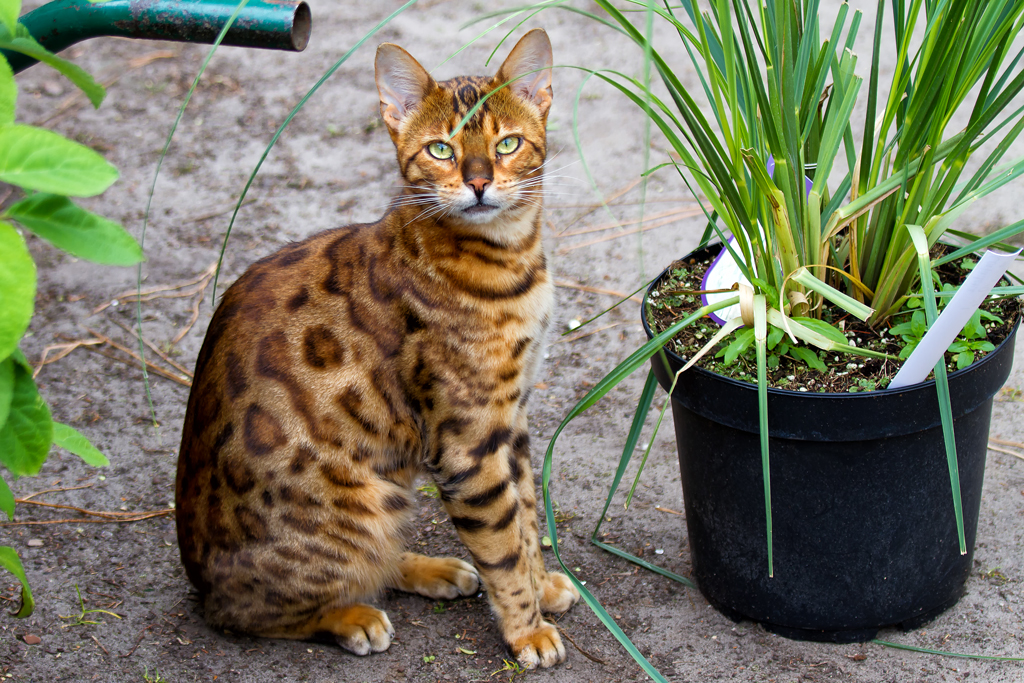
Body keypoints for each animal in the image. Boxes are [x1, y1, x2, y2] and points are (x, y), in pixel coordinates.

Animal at [174, 29, 577, 671]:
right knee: (245, 612)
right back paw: (352, 617)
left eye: (508, 143)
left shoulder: (510, 418)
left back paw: (430, 569)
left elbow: (526, 513)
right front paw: (526, 629)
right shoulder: (469, 440)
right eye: (440, 150)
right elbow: (503, 543)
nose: (479, 182)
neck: (509, 261)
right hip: (360, 506)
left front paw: (541, 589)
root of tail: (197, 577)